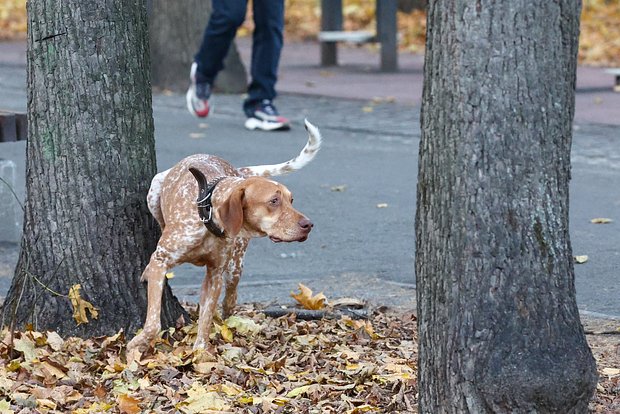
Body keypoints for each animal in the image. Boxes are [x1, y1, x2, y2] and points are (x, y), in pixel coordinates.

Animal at [125, 119, 320, 352]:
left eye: (291, 200)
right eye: (274, 201)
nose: (308, 225)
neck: (208, 216)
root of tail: (238, 172)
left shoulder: (215, 275)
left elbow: (206, 319)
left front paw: (200, 352)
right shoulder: (161, 262)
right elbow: (154, 323)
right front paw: (136, 344)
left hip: (235, 266)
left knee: (230, 298)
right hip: (155, 188)